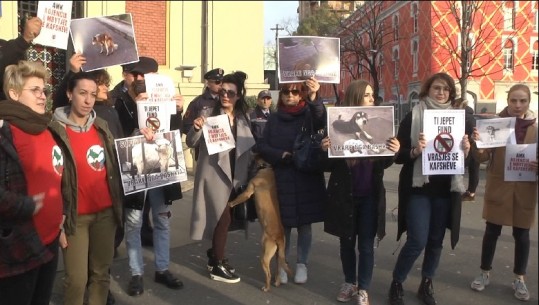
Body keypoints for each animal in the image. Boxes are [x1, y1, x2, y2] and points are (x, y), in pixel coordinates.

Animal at [230, 156, 294, 290]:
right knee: (278, 270)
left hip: (264, 256)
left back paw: (266, 287)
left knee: (268, 274)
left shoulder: (248, 192)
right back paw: (277, 282)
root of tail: (278, 237)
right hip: (278, 255)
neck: (266, 167)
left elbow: (236, 200)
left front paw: (229, 204)